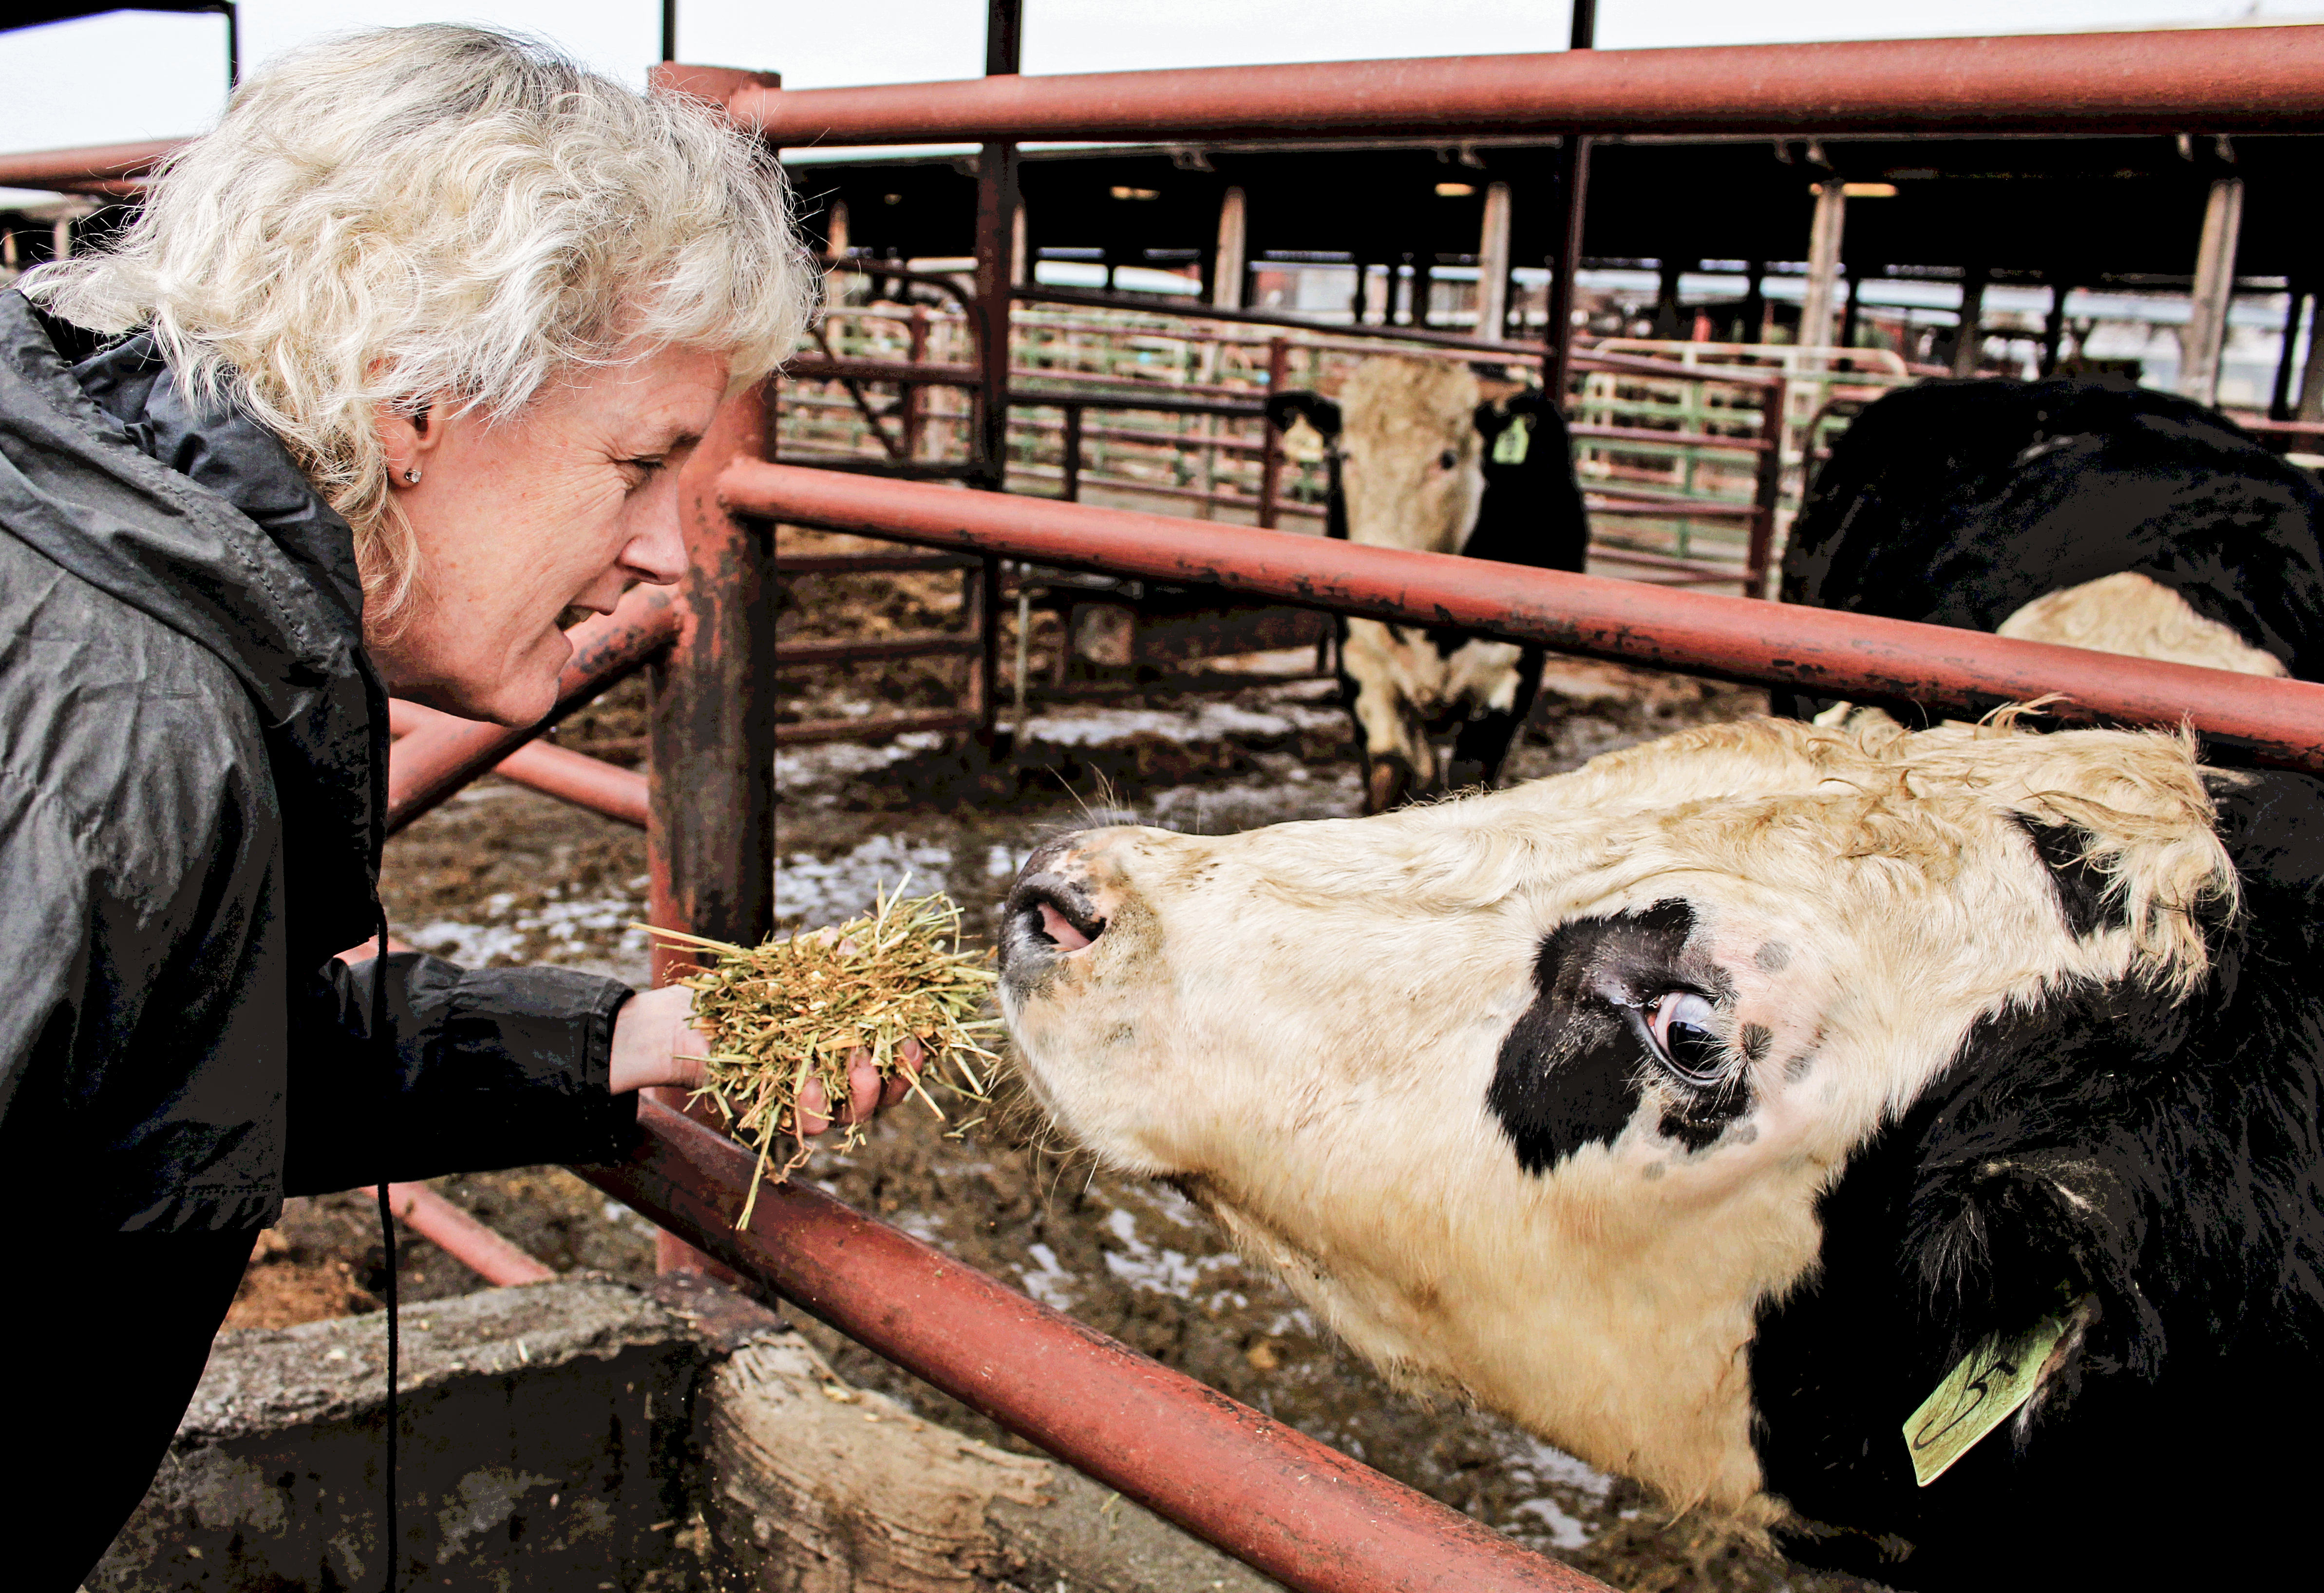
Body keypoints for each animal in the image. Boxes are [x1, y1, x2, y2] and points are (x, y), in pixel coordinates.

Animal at [1264, 356, 1589, 814]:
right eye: (1346, 454)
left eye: (1448, 459)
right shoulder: (1362, 664)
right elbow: (1394, 770)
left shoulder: (1510, 678)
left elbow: (1470, 777)